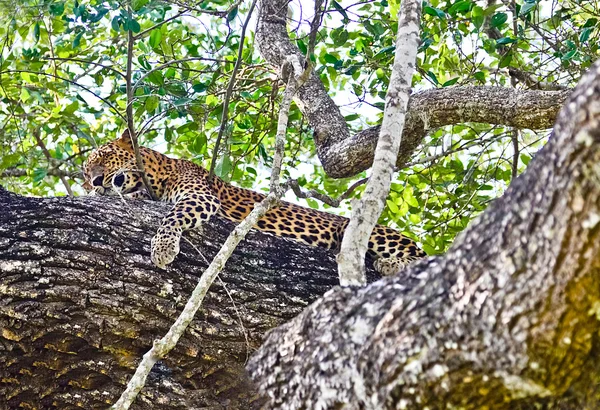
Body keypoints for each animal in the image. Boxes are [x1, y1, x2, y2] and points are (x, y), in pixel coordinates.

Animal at [83, 131, 426, 276]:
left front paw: (163, 247)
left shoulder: (200, 196)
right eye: (85, 175)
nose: (94, 183)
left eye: (105, 156)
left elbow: (173, 215)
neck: (155, 175)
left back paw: (390, 263)